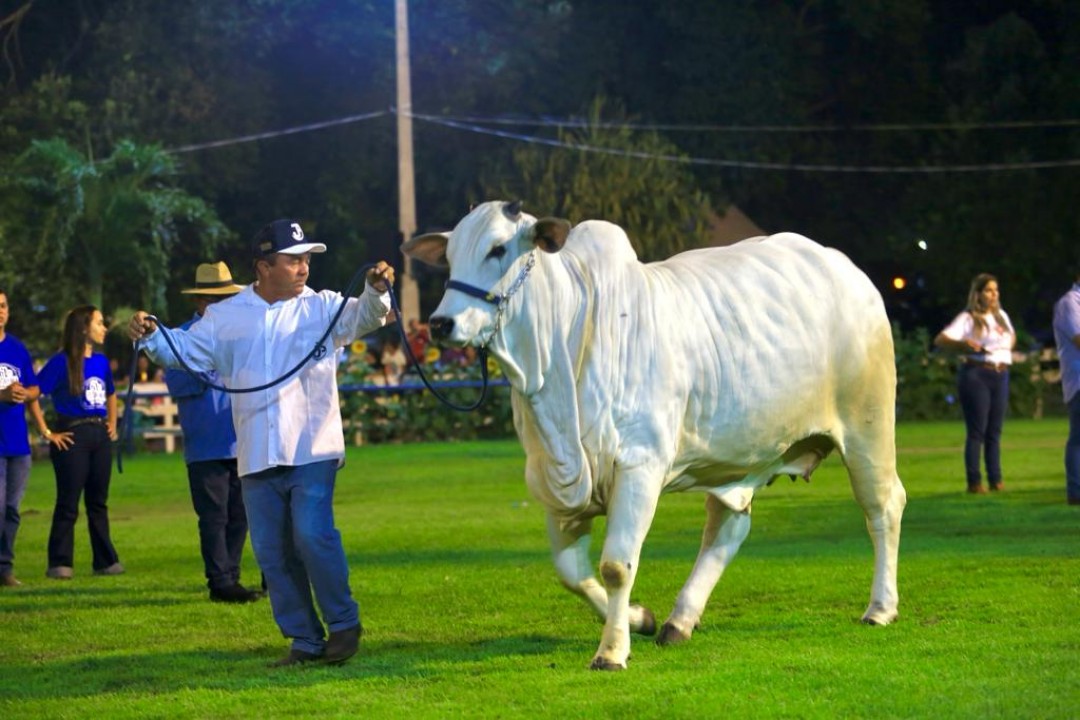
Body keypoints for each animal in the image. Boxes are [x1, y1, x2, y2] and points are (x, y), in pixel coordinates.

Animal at [401, 198, 907, 669]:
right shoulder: (553, 479)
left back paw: (880, 607)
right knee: (728, 527)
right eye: (449, 256)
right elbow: (570, 572)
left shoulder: (639, 466)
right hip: (740, 454)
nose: (441, 324)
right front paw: (638, 619)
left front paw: (611, 650)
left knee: (882, 505)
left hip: (868, 425)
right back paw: (680, 620)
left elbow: (615, 565)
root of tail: (845, 268)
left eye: (499, 248)